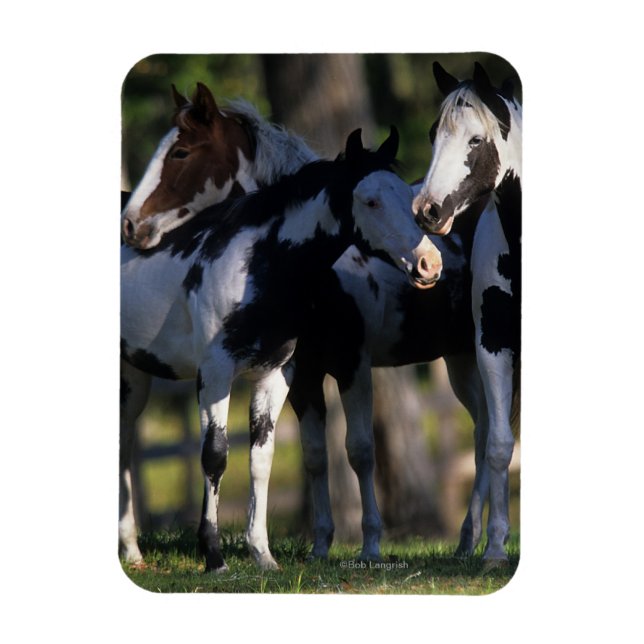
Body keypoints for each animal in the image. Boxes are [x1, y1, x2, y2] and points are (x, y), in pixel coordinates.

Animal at [121, 127, 442, 572]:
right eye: (371, 200)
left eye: (405, 197)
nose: (430, 263)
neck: (257, 265)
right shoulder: (215, 372)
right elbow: (215, 456)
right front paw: (214, 557)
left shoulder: (275, 374)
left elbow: (261, 458)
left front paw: (262, 555)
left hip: (133, 377)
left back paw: (132, 550)